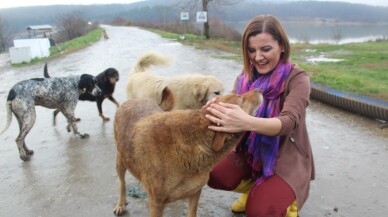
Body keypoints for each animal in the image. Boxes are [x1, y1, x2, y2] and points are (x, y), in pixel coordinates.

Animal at [113, 88, 262, 217]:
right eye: (241, 98)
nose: (259, 89)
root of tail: (133, 100)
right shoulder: (157, 203)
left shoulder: (195, 193)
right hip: (120, 161)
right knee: (121, 184)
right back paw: (120, 203)